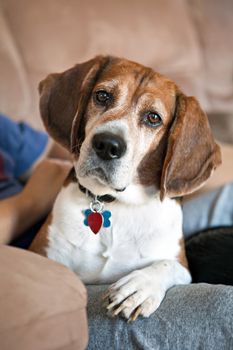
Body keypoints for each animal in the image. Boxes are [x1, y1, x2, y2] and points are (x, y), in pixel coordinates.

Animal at [30, 56, 221, 322]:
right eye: (102, 96)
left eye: (153, 118)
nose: (107, 145)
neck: (114, 202)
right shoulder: (42, 253)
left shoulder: (181, 263)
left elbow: (167, 265)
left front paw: (139, 288)